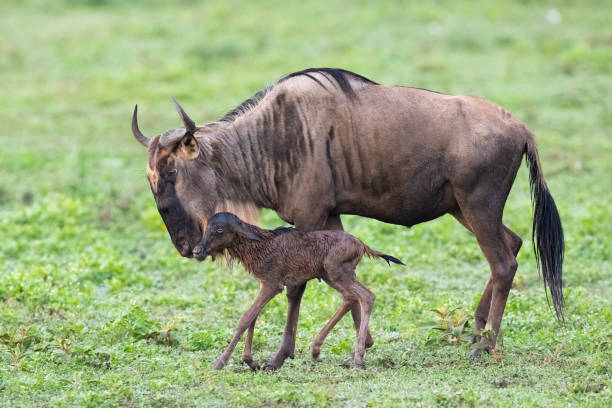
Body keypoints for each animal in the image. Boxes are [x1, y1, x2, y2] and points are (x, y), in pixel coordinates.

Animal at [191, 212, 402, 372]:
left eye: (219, 230)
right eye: (206, 228)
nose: (196, 251)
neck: (258, 245)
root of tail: (361, 244)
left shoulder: (273, 285)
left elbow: (246, 318)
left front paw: (220, 363)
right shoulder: (263, 283)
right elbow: (254, 317)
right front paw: (251, 361)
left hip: (338, 272)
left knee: (366, 296)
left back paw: (358, 359)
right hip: (330, 275)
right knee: (350, 297)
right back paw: (316, 349)